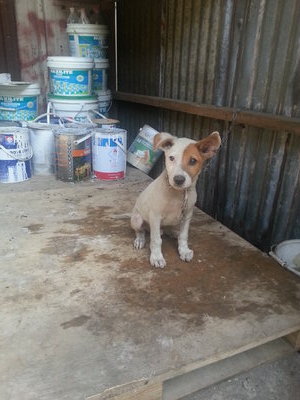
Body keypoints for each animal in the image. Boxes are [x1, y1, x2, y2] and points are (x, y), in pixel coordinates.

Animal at [131, 132, 220, 268]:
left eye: (193, 161)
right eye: (171, 158)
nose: (178, 180)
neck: (179, 193)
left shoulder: (187, 214)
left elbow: (184, 235)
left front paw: (184, 250)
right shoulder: (155, 216)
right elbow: (156, 240)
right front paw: (157, 257)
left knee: (168, 229)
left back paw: (173, 233)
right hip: (137, 219)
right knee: (140, 231)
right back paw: (140, 239)